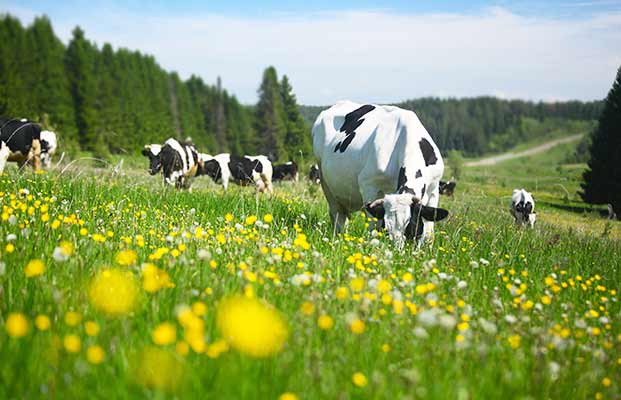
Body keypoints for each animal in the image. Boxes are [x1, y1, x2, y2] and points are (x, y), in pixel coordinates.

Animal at [312, 100, 448, 247]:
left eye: (412, 229)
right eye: (386, 230)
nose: (398, 251)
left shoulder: (434, 188)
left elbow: (429, 233)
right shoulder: (369, 186)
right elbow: (373, 227)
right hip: (325, 182)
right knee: (338, 216)